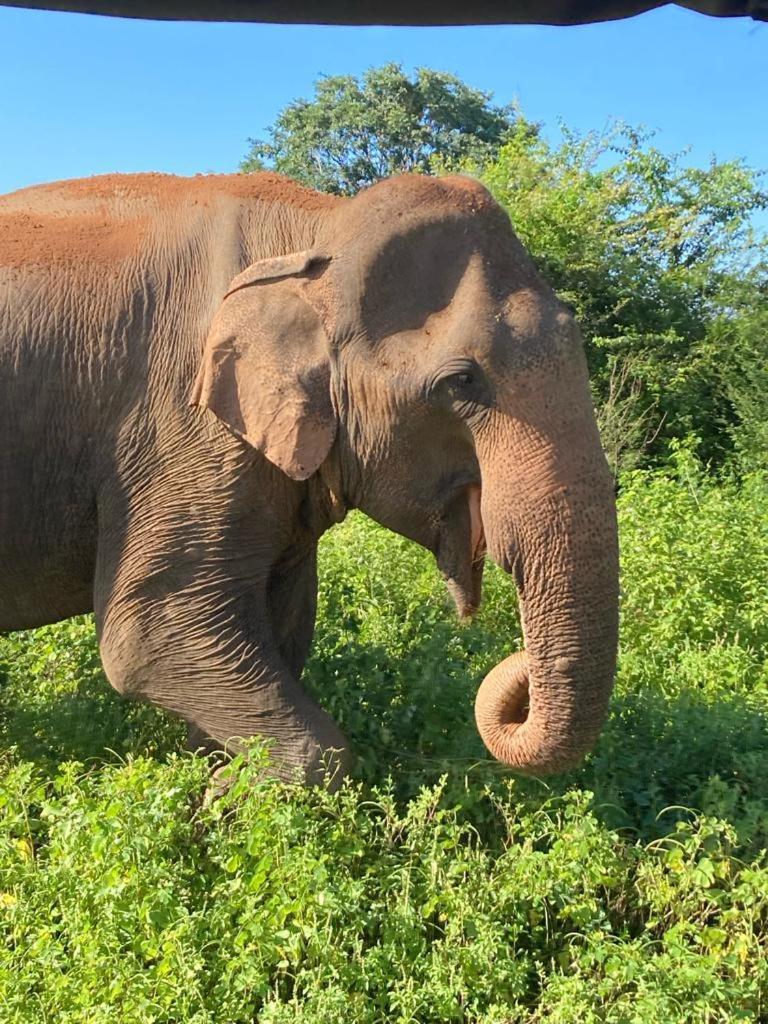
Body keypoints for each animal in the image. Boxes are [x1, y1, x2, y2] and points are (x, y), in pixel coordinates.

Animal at [0, 169, 618, 782]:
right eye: (461, 382)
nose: (512, 664)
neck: (320, 230)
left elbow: (285, 622)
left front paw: (220, 778)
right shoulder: (182, 428)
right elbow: (150, 632)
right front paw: (233, 788)